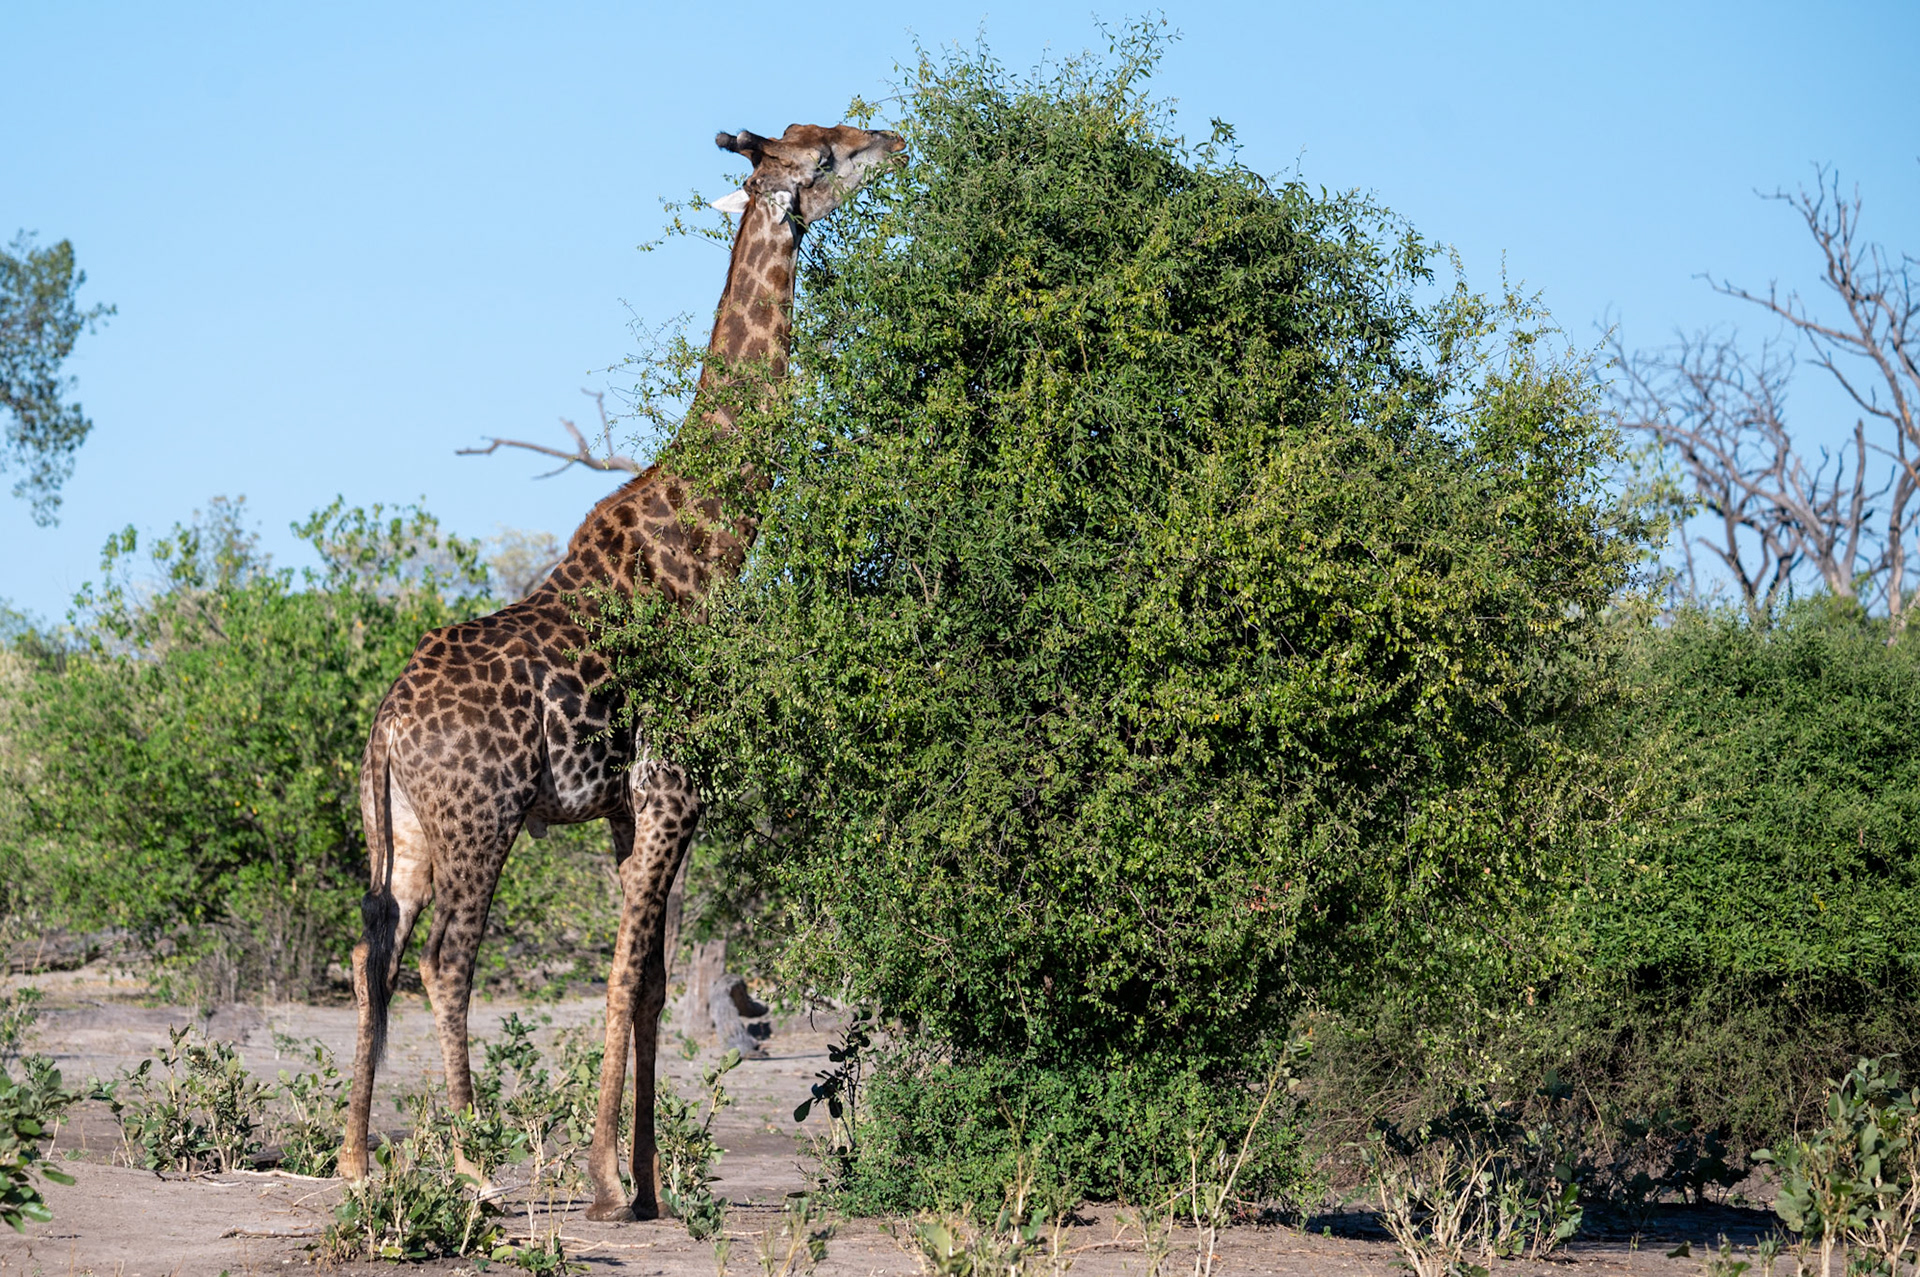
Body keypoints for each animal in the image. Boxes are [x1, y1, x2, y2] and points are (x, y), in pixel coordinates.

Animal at [336, 123, 906, 1223]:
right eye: (822, 155)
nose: (895, 139)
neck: (713, 539)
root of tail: (385, 726)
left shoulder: (625, 805)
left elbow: (648, 980)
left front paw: (649, 1185)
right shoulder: (674, 782)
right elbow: (624, 968)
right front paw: (607, 1182)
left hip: (408, 829)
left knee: (371, 945)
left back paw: (354, 1162)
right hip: (482, 816)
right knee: (446, 959)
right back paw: (473, 1170)